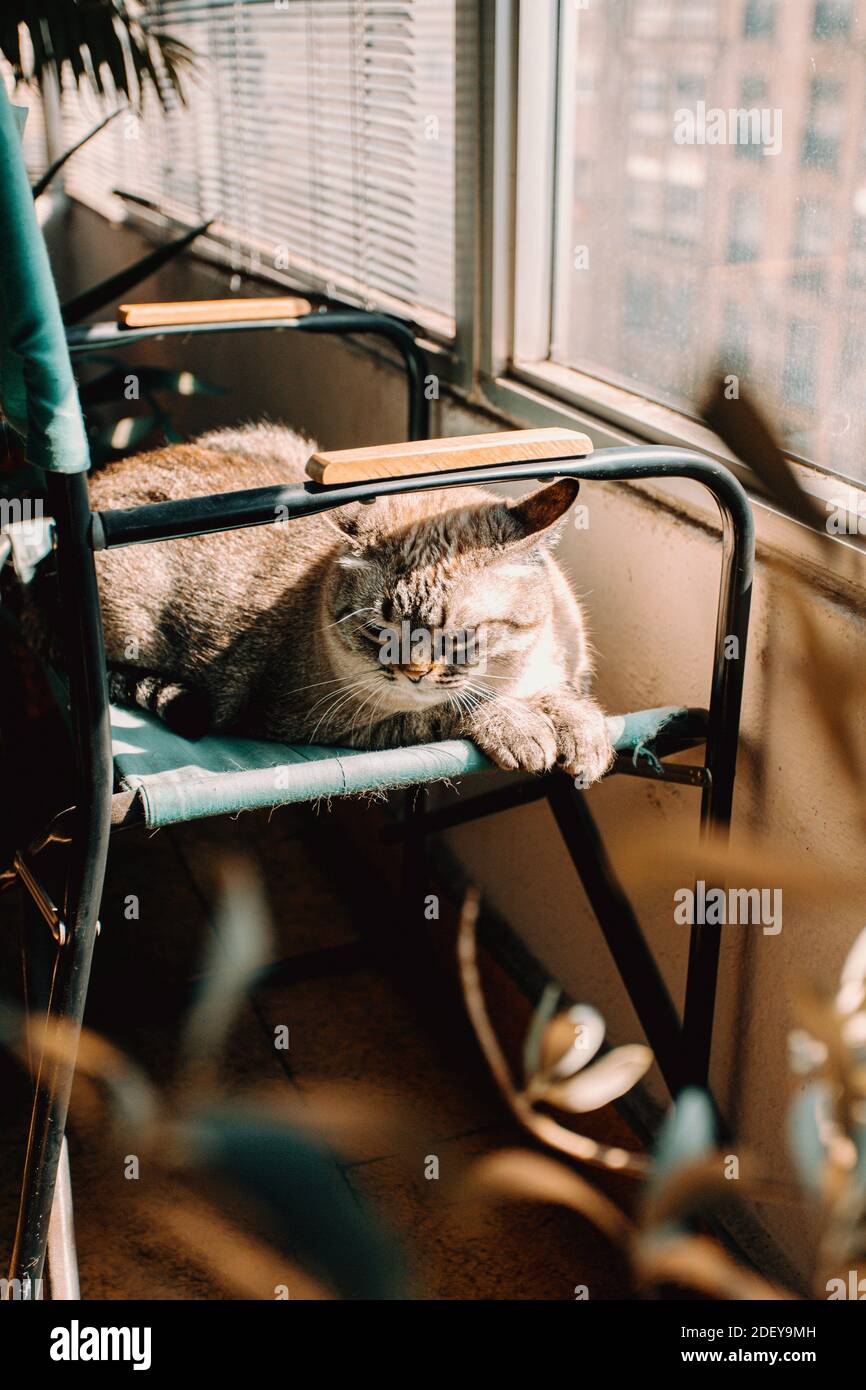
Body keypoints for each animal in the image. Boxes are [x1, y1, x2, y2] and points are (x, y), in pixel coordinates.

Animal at [88, 422, 617, 783]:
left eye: (460, 638)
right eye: (380, 633)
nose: (414, 672)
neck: (514, 672)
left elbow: (562, 698)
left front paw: (583, 731)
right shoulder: (323, 721)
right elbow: (447, 710)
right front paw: (519, 726)